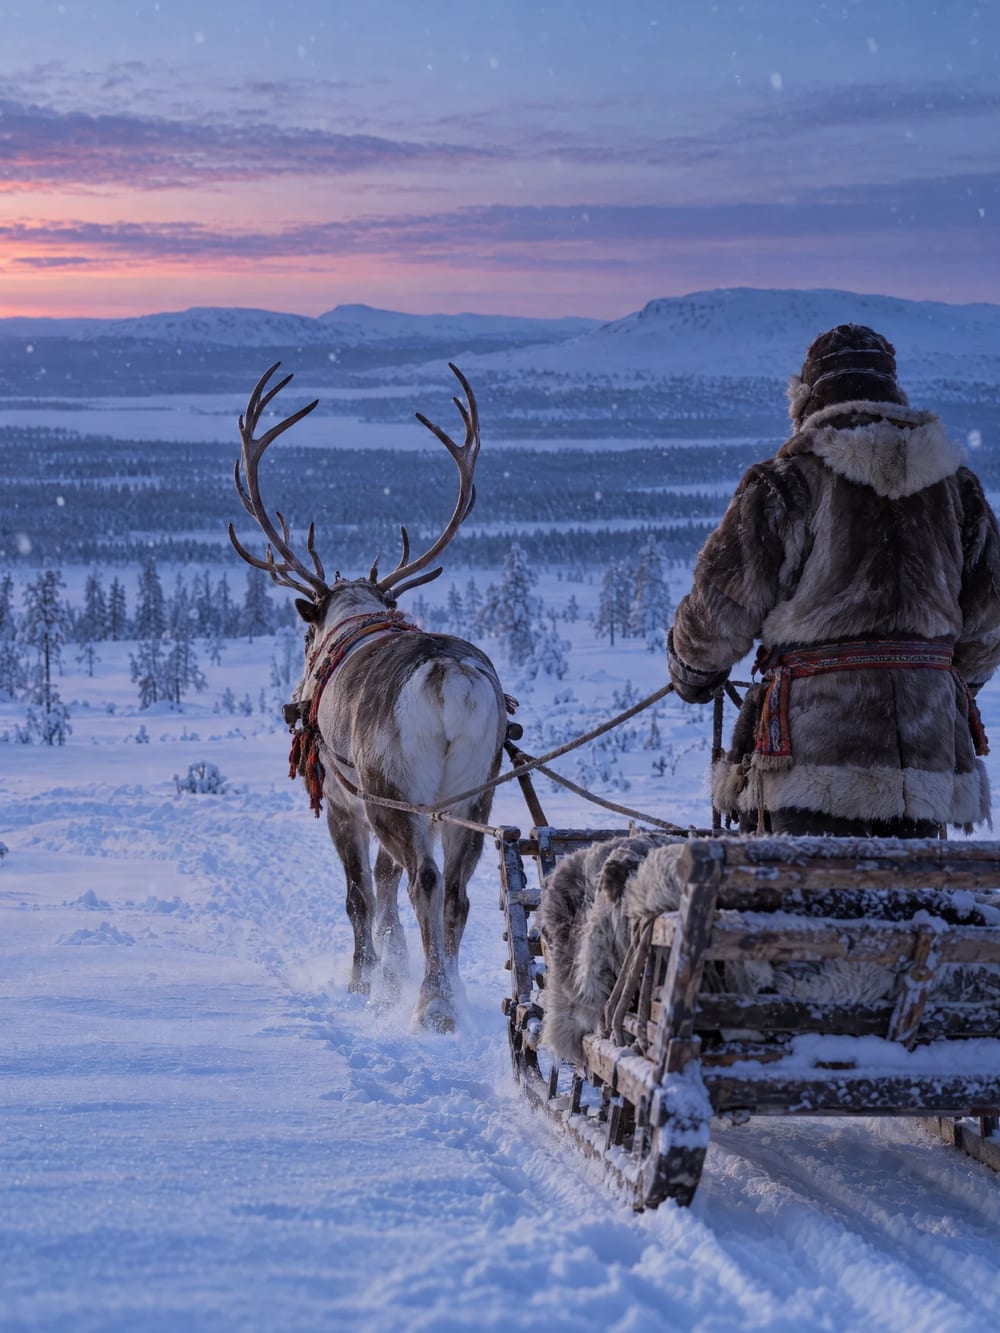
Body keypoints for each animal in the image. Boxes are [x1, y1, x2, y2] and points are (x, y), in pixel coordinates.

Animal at [229, 362, 509, 1033]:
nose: (294, 700)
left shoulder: (340, 802)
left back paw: (433, 1006)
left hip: (395, 795)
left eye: (305, 635)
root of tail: (447, 675)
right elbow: (383, 890)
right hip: (475, 793)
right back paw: (452, 991)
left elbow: (359, 896)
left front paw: (363, 986)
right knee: (455, 892)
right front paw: (391, 975)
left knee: (424, 881)